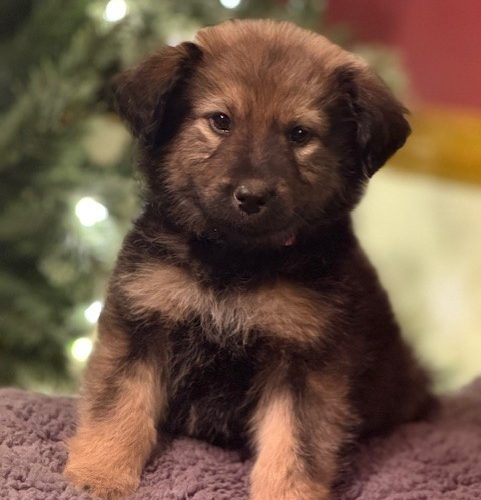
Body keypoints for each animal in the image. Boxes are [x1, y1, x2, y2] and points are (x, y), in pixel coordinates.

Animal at [64, 19, 433, 500]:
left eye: (300, 134)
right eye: (221, 121)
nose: (252, 196)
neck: (234, 260)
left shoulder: (305, 359)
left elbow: (293, 443)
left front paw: (287, 493)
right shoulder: (142, 319)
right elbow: (118, 402)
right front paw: (99, 472)